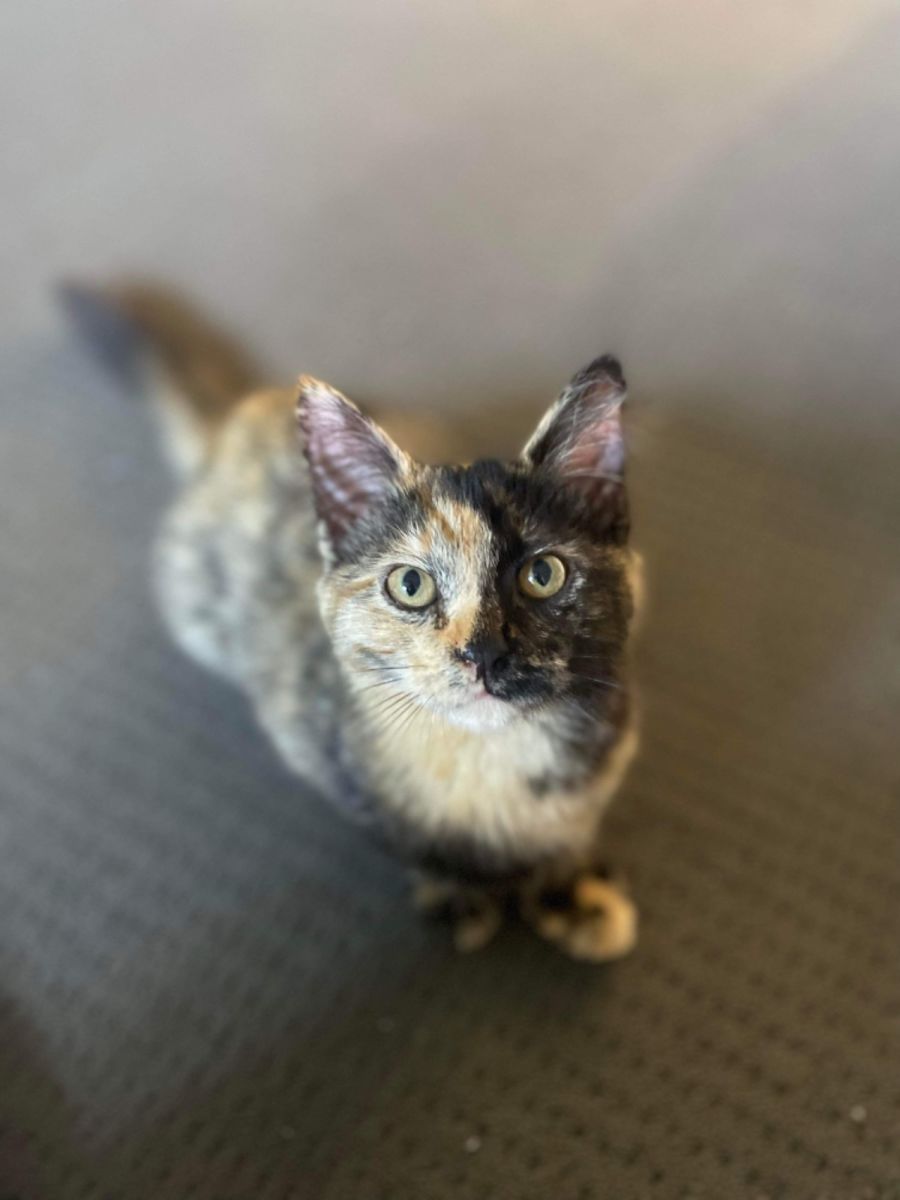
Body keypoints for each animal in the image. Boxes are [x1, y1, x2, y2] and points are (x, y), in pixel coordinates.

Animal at [63, 281, 643, 961]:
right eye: (411, 585)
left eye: (542, 574)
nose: (484, 655)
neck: (488, 754)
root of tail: (245, 414)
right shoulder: (323, 744)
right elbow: (411, 837)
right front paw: (461, 891)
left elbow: (572, 823)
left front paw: (570, 889)